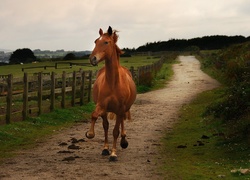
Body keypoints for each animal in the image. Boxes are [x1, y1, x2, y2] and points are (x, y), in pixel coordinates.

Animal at [86, 26, 137, 161]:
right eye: (95, 41)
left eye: (106, 42)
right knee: (106, 125)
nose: (92, 59)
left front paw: (113, 154)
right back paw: (105, 148)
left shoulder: (120, 109)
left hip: (124, 109)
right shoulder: (101, 106)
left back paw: (123, 142)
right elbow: (95, 116)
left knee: (121, 123)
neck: (113, 83)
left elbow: (115, 131)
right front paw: (91, 134)